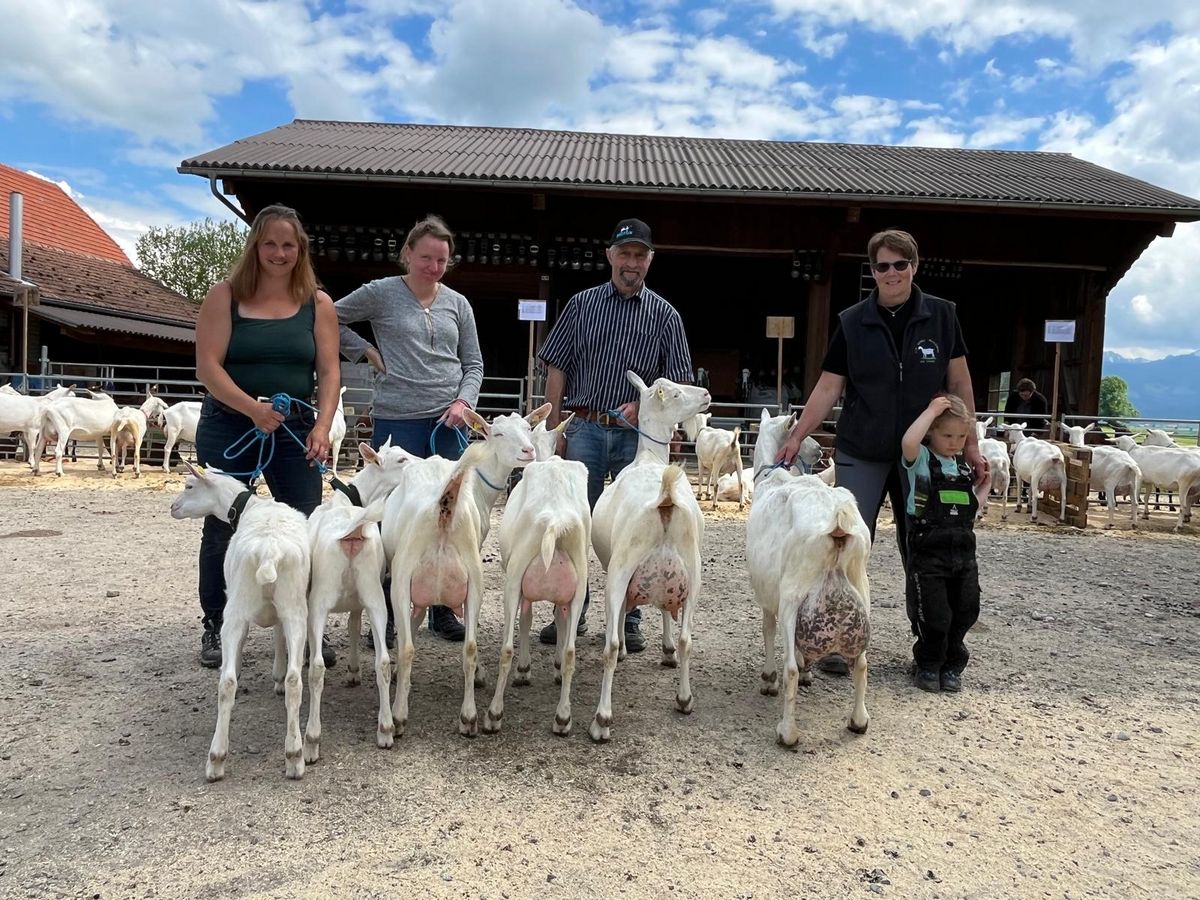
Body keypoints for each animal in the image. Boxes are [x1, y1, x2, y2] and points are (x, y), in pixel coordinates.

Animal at [169, 462, 312, 781]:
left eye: (189, 487)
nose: (173, 508)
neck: (251, 506)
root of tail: (269, 552)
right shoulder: (282, 612)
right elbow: (280, 640)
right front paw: (279, 677)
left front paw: (275, 676)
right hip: (294, 607)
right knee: (287, 680)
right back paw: (293, 756)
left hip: (236, 610)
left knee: (229, 679)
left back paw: (217, 758)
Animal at [302, 439, 417, 764]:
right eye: (401, 459)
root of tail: (352, 530)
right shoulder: (360, 599)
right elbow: (354, 625)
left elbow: (350, 626)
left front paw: (352, 671)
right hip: (375, 595)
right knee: (384, 661)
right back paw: (386, 729)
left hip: (320, 600)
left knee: (317, 668)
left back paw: (311, 741)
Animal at [381, 405, 550, 738]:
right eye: (498, 433)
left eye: (527, 427)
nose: (528, 450)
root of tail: (443, 509)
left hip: (416, 575)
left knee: (415, 646)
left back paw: (412, 713)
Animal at [588, 371, 712, 743]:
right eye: (675, 393)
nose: (706, 393)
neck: (648, 458)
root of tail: (665, 500)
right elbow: (668, 613)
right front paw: (667, 650)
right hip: (693, 572)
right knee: (687, 638)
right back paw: (684, 699)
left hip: (620, 570)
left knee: (611, 646)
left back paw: (602, 719)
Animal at [746, 409, 871, 745]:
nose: (820, 450)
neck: (772, 477)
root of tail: (837, 523)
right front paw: (807, 671)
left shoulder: (766, 594)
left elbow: (767, 629)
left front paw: (768, 679)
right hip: (860, 588)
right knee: (862, 663)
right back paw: (858, 721)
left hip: (792, 594)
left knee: (788, 665)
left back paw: (787, 732)